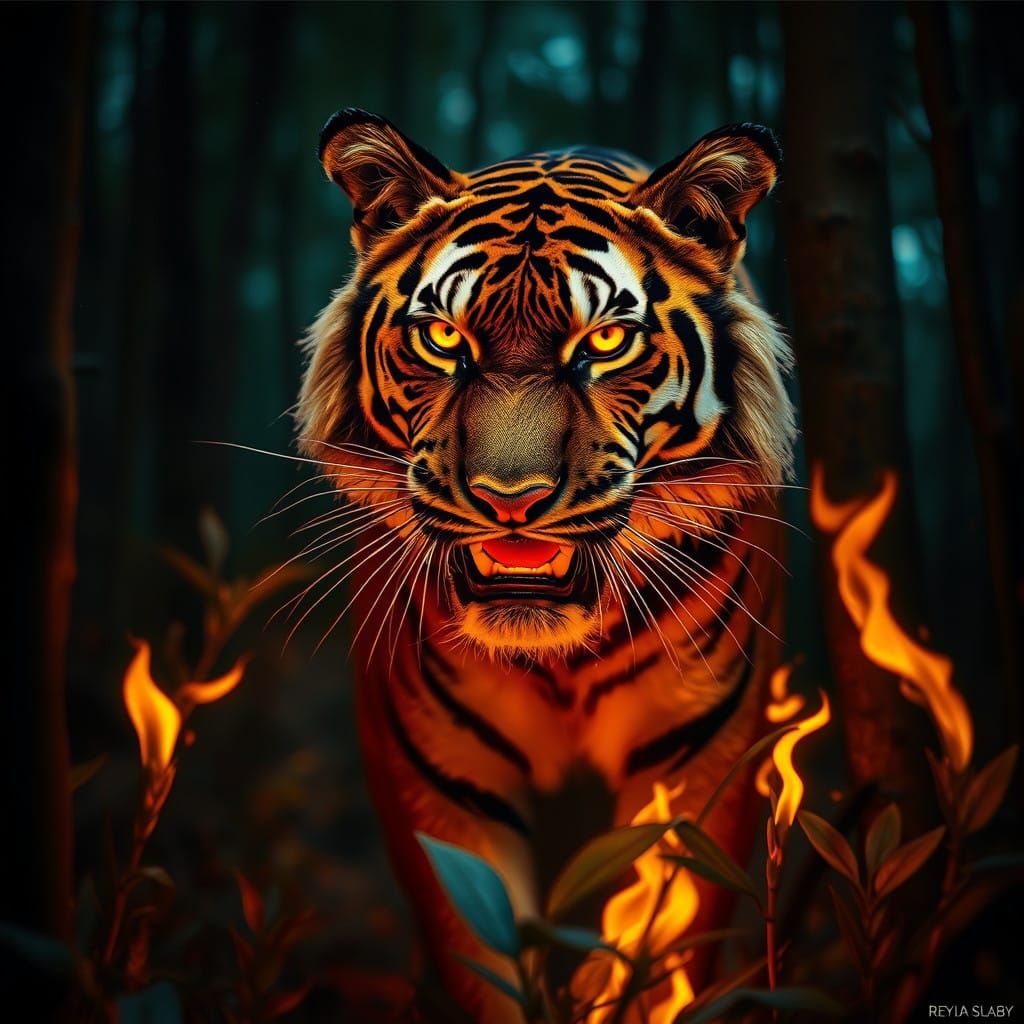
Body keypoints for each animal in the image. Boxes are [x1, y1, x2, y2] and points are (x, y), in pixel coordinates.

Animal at [297, 107, 795, 1022]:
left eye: (605, 341)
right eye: (443, 336)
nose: (510, 499)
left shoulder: (702, 760)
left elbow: (661, 945)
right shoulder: (437, 777)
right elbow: (479, 957)